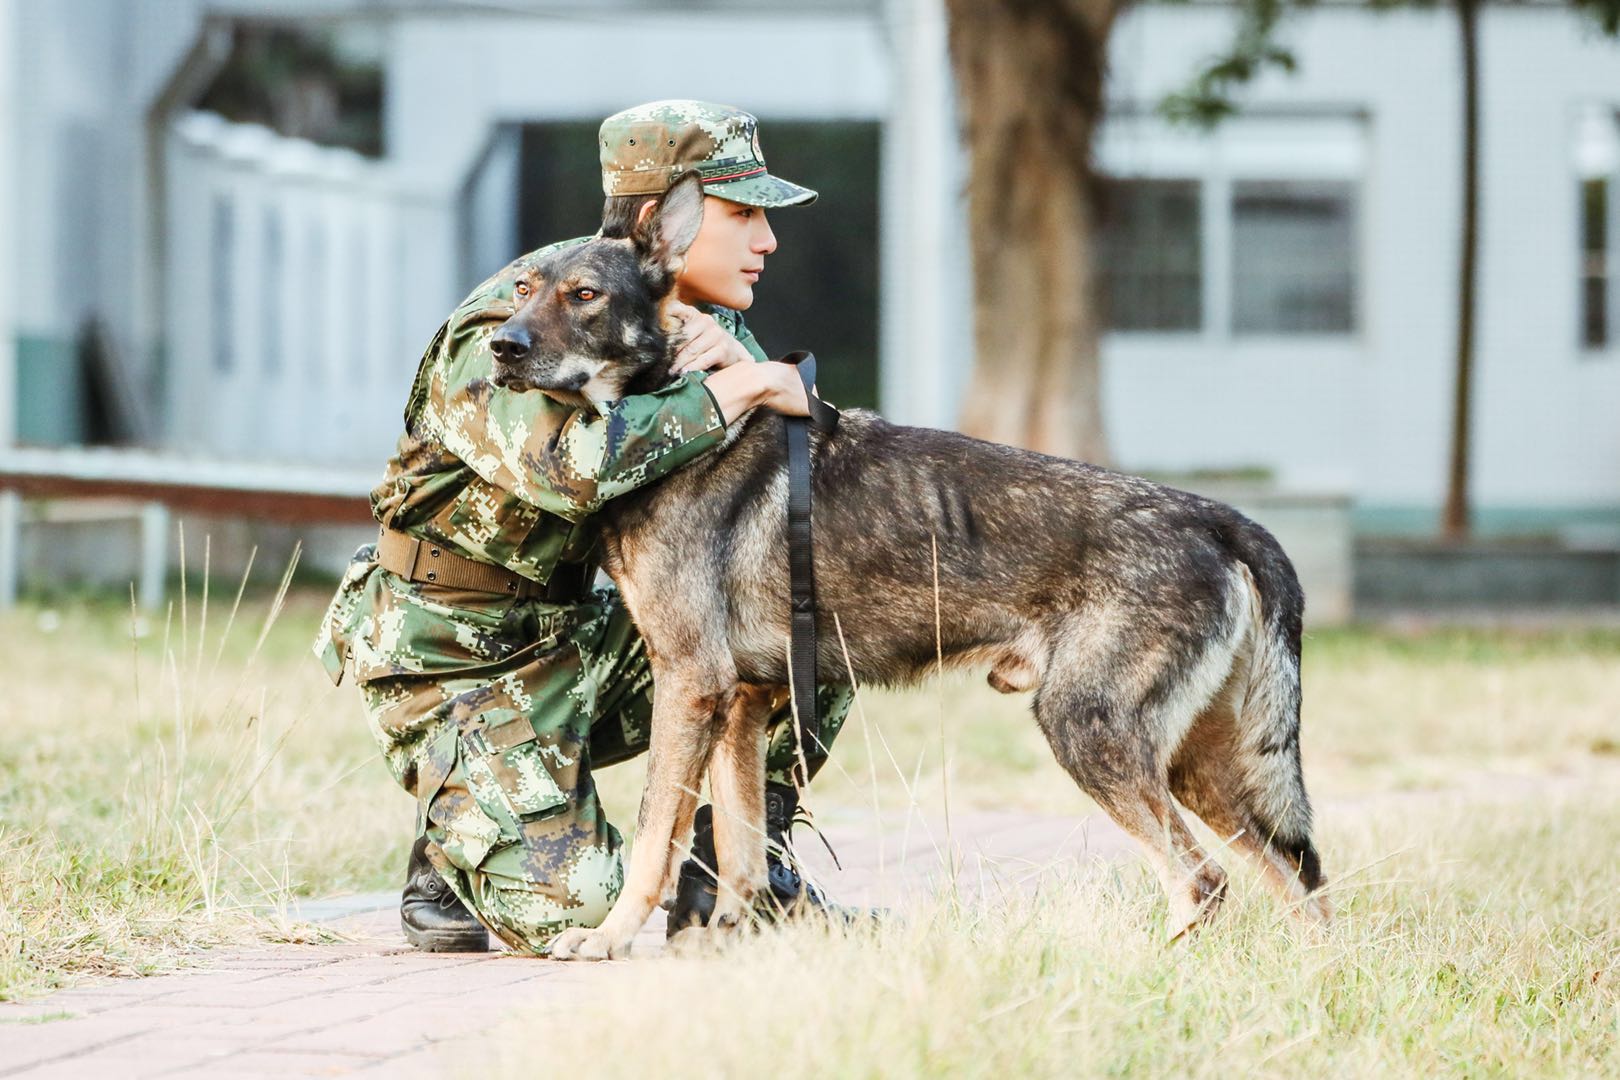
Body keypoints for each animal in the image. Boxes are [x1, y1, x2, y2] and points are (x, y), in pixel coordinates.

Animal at [486, 173, 1334, 958]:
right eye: (522, 289)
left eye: (585, 295)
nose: (501, 348)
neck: (678, 411)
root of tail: (1218, 518)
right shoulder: (743, 703)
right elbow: (737, 846)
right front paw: (727, 939)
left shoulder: (693, 684)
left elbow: (656, 832)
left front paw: (610, 938)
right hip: (1200, 769)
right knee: (1297, 884)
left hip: (1090, 733)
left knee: (1202, 880)